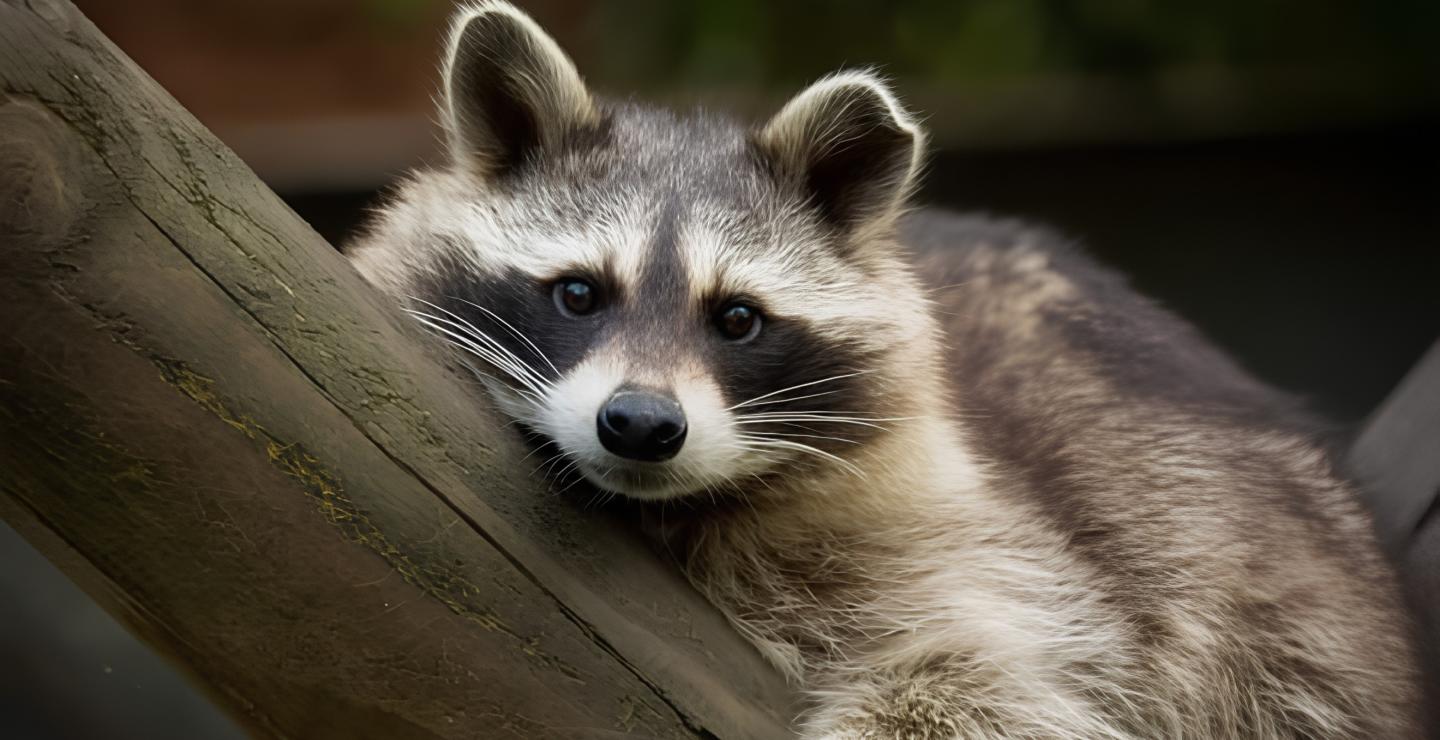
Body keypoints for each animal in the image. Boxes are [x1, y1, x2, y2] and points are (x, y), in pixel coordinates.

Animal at [347, 3, 1422, 737]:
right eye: (578, 294)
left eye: (738, 319)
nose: (642, 424)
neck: (668, 505)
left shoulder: (984, 550)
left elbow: (1002, 668)